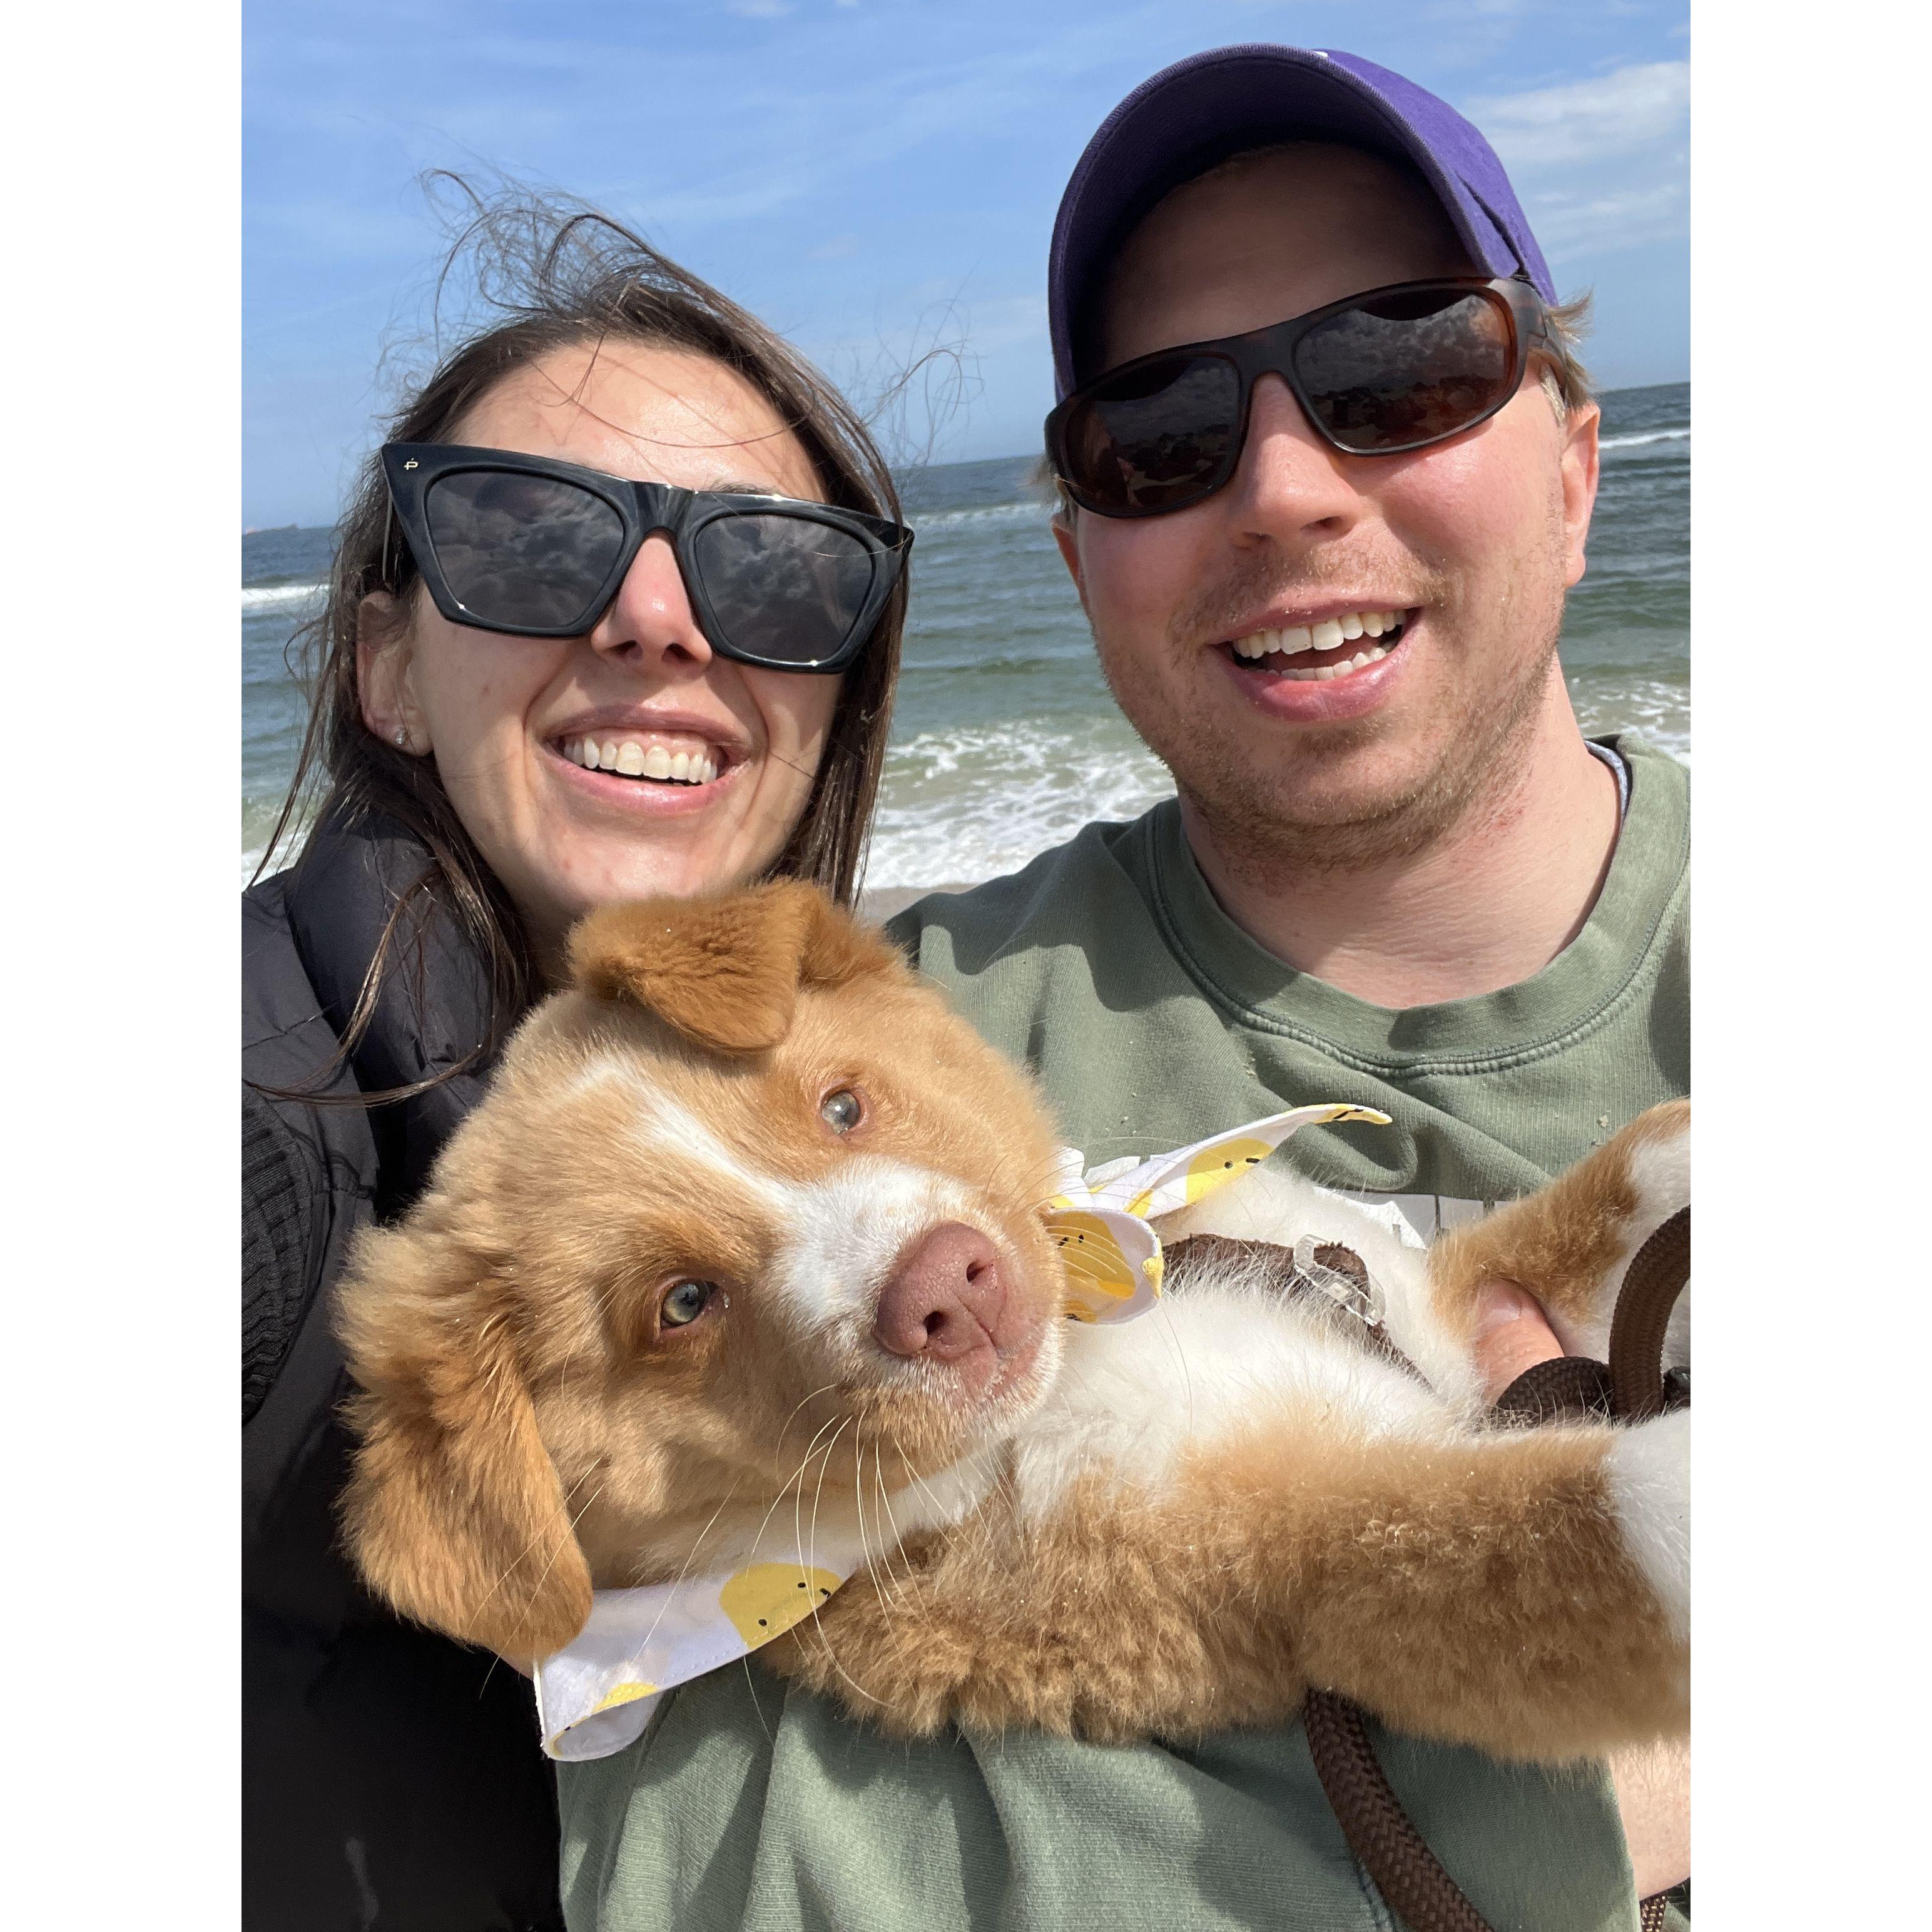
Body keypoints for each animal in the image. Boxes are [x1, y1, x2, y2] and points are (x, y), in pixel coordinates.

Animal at [340, 885, 1684, 1762]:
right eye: (679, 1303)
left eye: (841, 1105)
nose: (950, 1283)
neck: (1103, 1329)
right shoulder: (1311, 1549)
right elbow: (1584, 1517)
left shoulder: (1422, 1292)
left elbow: (1602, 1189)